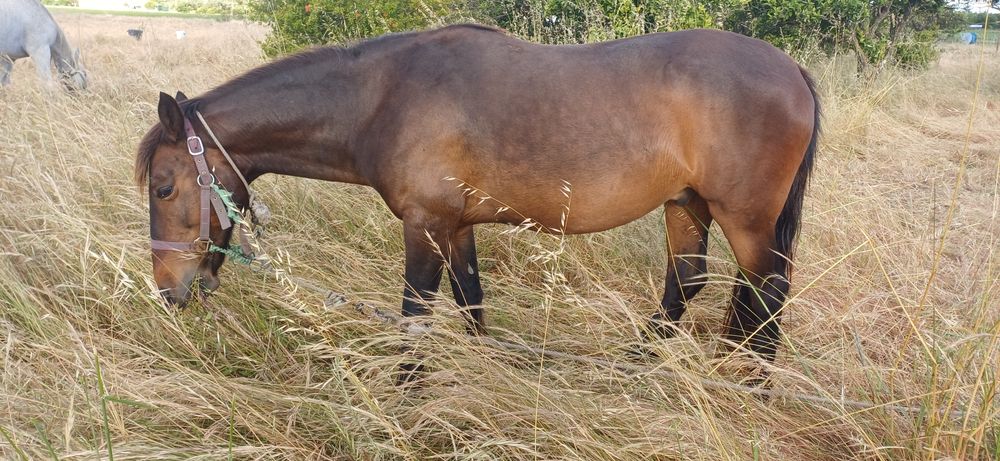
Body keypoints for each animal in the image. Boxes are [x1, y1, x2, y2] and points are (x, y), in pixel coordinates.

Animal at [136, 24, 819, 369]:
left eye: (165, 186)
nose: (169, 290)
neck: (384, 97)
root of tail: (791, 69)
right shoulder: (456, 226)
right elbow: (471, 307)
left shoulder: (424, 225)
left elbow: (415, 319)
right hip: (687, 204)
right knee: (690, 281)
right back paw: (636, 366)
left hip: (745, 220)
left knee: (766, 290)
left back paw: (750, 384)